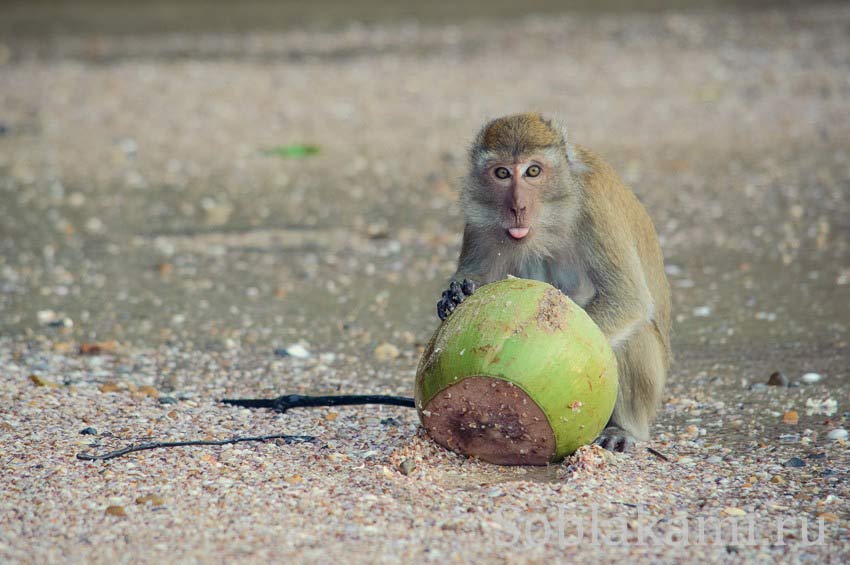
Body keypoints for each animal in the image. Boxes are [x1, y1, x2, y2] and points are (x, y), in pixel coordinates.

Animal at [438, 112, 668, 452]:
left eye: (533, 171)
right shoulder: (479, 216)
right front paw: (459, 292)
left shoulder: (595, 205)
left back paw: (624, 429)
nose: (517, 207)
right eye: (502, 173)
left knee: (632, 336)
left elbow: (626, 298)